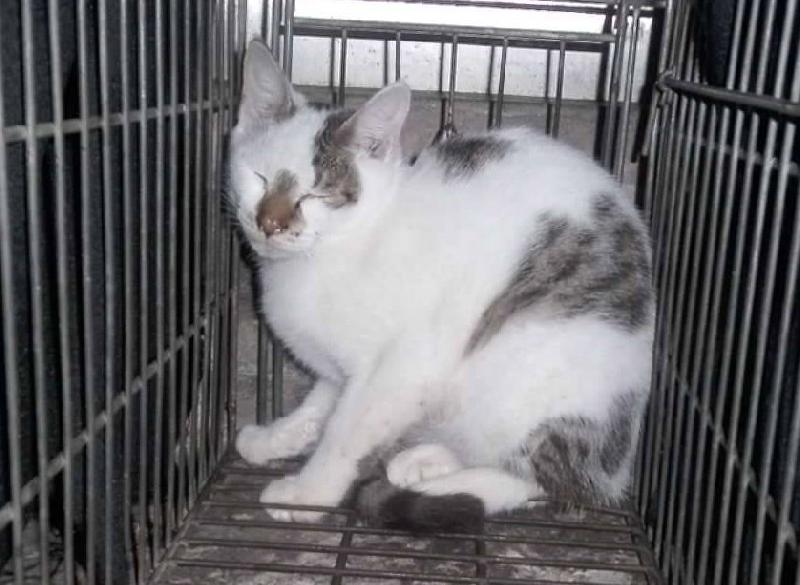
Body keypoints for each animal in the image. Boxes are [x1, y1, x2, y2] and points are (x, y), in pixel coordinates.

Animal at [228, 39, 654, 531]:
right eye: (258, 176)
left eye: (315, 194)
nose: (270, 223)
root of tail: (616, 467)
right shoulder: (341, 369)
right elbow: (323, 405)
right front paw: (277, 436)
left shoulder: (403, 367)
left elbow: (347, 430)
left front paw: (308, 492)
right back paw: (426, 461)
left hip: (518, 367)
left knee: (549, 484)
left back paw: (445, 486)